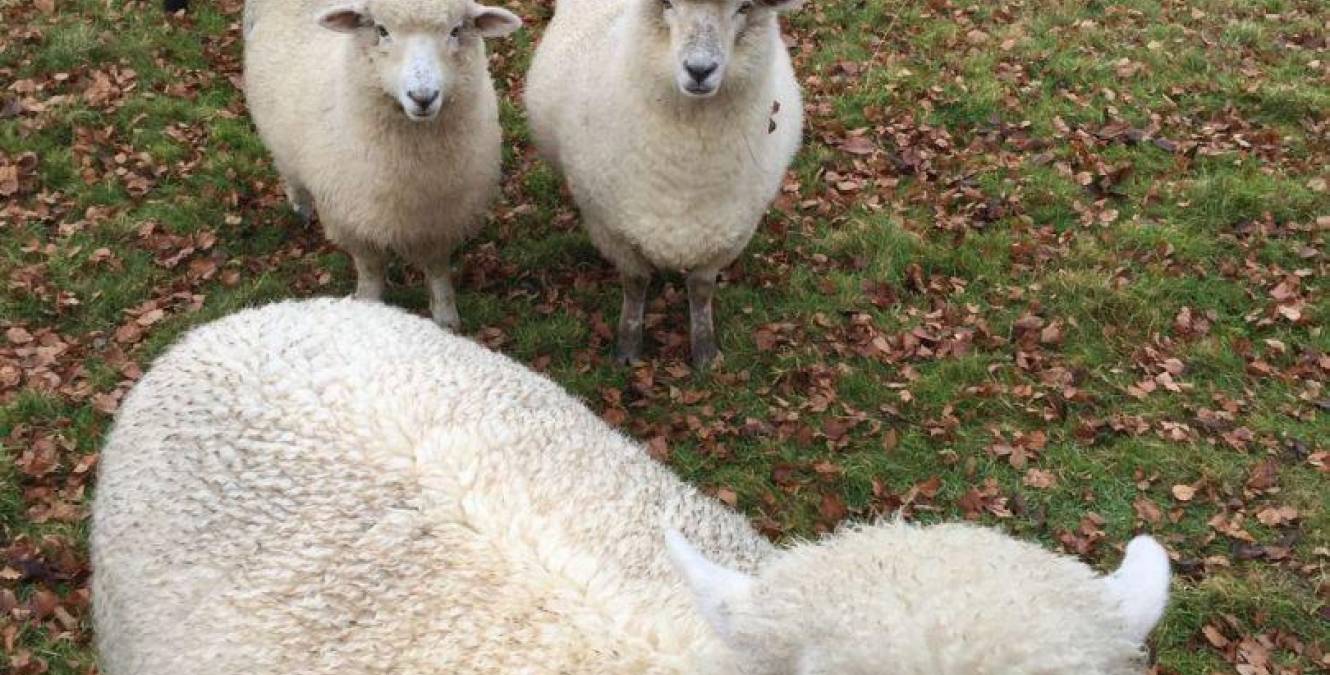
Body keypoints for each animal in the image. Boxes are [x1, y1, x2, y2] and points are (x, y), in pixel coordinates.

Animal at [242, 0, 521, 330]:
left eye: (455, 30)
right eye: (381, 30)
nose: (422, 97)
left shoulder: (440, 220)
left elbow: (437, 270)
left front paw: (445, 318)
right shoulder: (352, 223)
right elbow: (371, 272)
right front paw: (368, 308)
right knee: (289, 170)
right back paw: (301, 205)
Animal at [524, 0, 804, 368]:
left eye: (744, 7)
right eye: (668, 4)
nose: (699, 69)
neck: (686, 175)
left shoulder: (729, 233)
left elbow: (701, 289)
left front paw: (705, 352)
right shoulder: (611, 228)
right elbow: (635, 283)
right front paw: (628, 348)